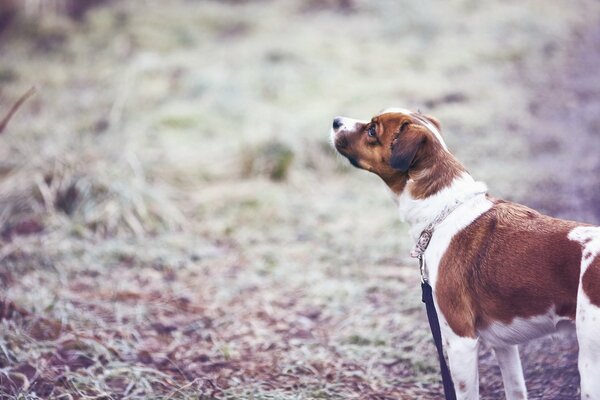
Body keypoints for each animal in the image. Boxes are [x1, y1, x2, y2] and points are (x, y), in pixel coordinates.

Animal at [330, 108, 600, 400]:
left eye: (372, 130)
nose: (335, 121)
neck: (443, 210)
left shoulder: (460, 342)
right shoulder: (504, 345)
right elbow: (516, 389)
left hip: (590, 362)